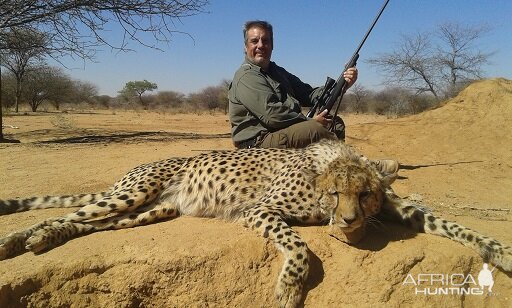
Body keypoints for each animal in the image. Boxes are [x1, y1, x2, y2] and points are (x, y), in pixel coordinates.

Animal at [1, 140, 512, 308]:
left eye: (364, 194)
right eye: (335, 194)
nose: (349, 221)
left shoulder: (397, 208)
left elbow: (449, 223)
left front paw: (500, 250)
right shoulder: (259, 210)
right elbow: (300, 245)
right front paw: (288, 289)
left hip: (149, 211)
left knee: (92, 224)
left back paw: (41, 238)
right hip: (133, 193)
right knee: (74, 213)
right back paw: (26, 236)